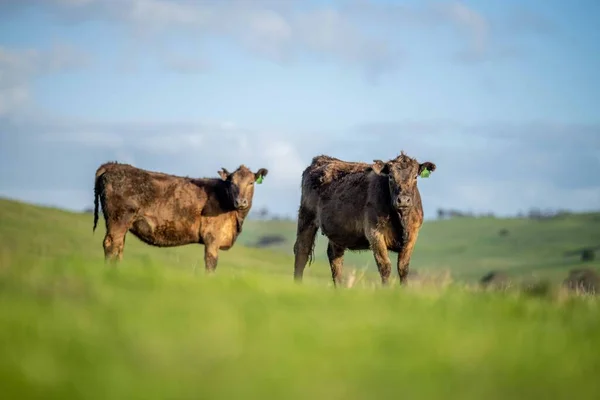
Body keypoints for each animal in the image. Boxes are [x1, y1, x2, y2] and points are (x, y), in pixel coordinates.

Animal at [91, 162, 268, 272]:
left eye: (251, 182)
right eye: (232, 183)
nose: (241, 201)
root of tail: (113, 165)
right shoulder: (211, 238)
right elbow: (210, 264)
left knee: (119, 246)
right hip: (118, 219)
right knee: (111, 244)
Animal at [292, 152, 436, 286]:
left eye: (415, 176)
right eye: (390, 176)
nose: (403, 200)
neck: (401, 221)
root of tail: (322, 159)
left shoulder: (413, 235)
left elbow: (403, 268)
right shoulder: (374, 233)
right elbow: (385, 267)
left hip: (337, 231)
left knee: (335, 258)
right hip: (306, 217)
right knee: (302, 252)